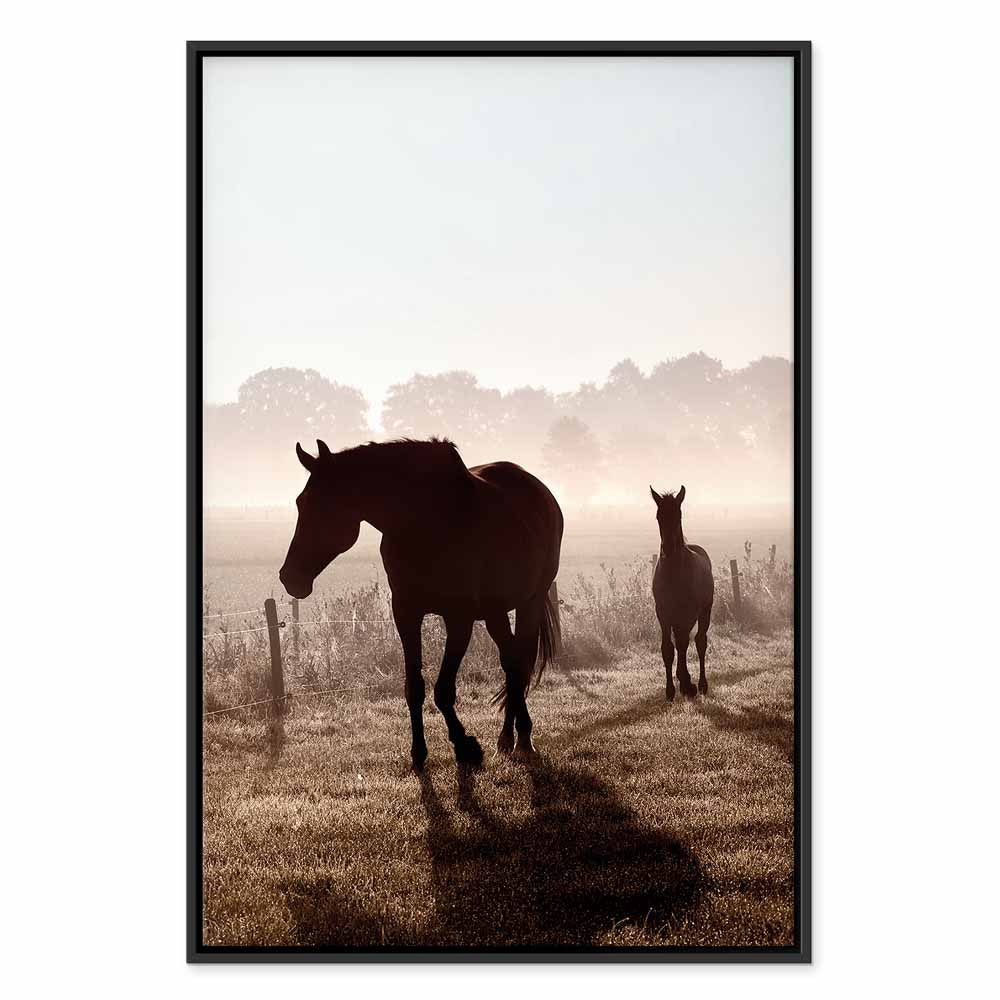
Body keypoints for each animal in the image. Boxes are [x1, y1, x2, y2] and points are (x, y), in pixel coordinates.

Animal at [279, 438, 563, 769]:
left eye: (325, 505)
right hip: (495, 612)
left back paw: (525, 740)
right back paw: (506, 739)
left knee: (518, 664)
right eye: (301, 502)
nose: (290, 577)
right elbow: (414, 688)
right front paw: (419, 752)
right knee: (510, 662)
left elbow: (443, 690)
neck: (423, 521)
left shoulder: (459, 618)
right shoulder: (406, 613)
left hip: (530, 601)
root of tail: (540, 491)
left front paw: (466, 746)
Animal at [650, 485, 714, 701]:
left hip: (704, 610)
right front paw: (670, 690)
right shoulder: (663, 612)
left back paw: (700, 684)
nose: (668, 548)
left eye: (678, 515)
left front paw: (687, 684)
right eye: (658, 516)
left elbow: (684, 643)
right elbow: (668, 649)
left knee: (699, 641)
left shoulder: (688, 613)